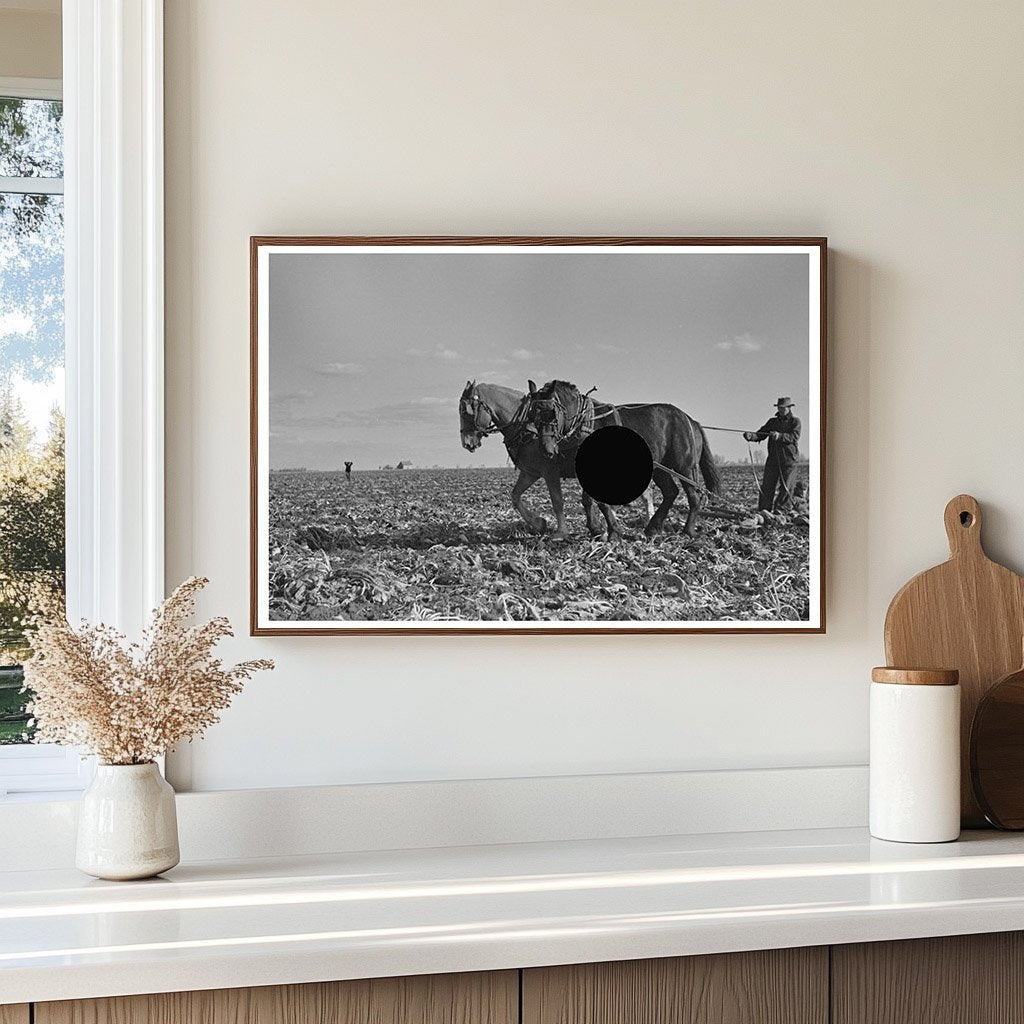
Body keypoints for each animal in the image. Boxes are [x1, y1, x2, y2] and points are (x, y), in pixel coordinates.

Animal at [458, 380, 618, 540]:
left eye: (465, 411)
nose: (466, 443)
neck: (527, 431)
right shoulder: (530, 472)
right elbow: (515, 496)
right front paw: (539, 523)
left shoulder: (550, 471)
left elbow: (557, 501)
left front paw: (561, 532)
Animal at [528, 376, 720, 536]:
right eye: (532, 414)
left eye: (552, 412)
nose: (546, 449)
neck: (586, 421)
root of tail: (691, 420)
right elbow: (587, 500)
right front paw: (596, 528)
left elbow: (599, 501)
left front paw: (613, 531)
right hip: (660, 467)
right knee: (671, 492)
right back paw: (653, 528)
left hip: (685, 467)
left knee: (694, 496)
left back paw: (688, 531)